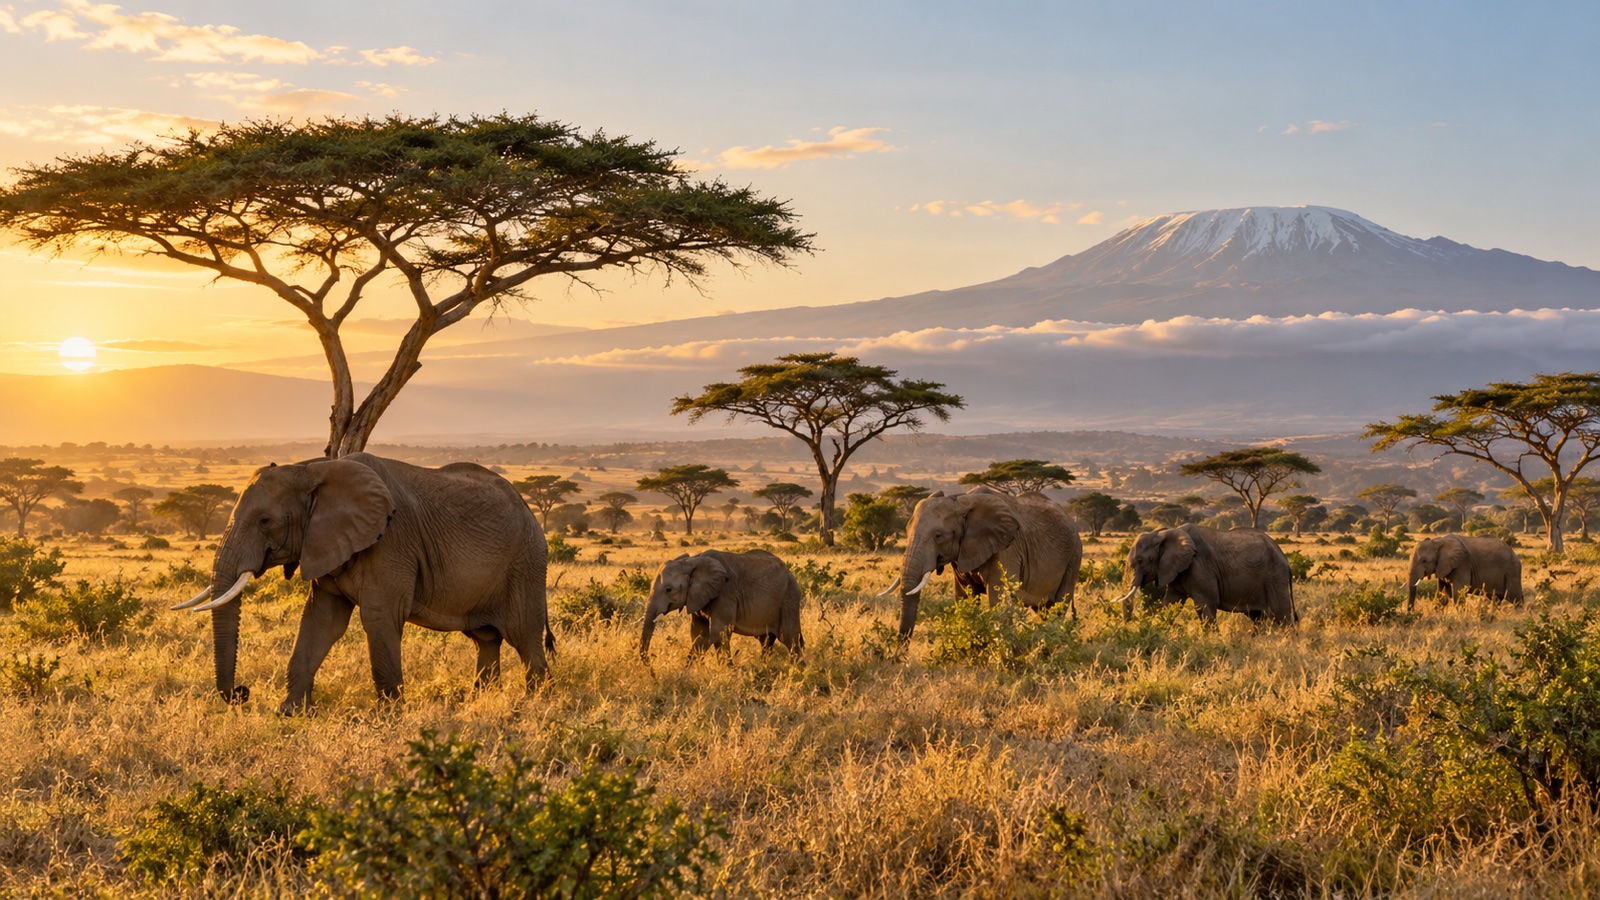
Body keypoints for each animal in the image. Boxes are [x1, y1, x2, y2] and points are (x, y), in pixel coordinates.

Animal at [171, 453, 552, 714]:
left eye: (265, 521)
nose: (242, 692)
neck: (314, 469)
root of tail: (528, 509)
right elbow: (321, 621)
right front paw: (291, 713)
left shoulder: (391, 542)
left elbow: (380, 617)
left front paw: (389, 716)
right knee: (486, 640)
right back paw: (482, 700)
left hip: (526, 563)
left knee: (525, 637)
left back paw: (534, 704)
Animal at [639, 548, 803, 661]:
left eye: (668, 590)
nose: (651, 670)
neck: (692, 561)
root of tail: (790, 572)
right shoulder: (698, 598)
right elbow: (698, 633)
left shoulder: (725, 593)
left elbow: (718, 632)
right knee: (767, 641)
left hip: (789, 599)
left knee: (790, 639)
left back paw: (798, 670)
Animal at [884, 487, 1083, 638]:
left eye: (938, 536)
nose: (901, 649)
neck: (961, 500)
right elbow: (965, 597)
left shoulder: (1007, 549)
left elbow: (998, 599)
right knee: (1043, 610)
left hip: (1074, 556)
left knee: (1058, 605)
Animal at [1117, 524, 1296, 626]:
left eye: (1141, 560)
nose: (1129, 623)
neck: (1164, 532)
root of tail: (1286, 560)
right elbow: (1171, 602)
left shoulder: (1201, 565)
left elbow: (1206, 603)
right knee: (1257, 617)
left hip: (1274, 577)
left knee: (1282, 615)